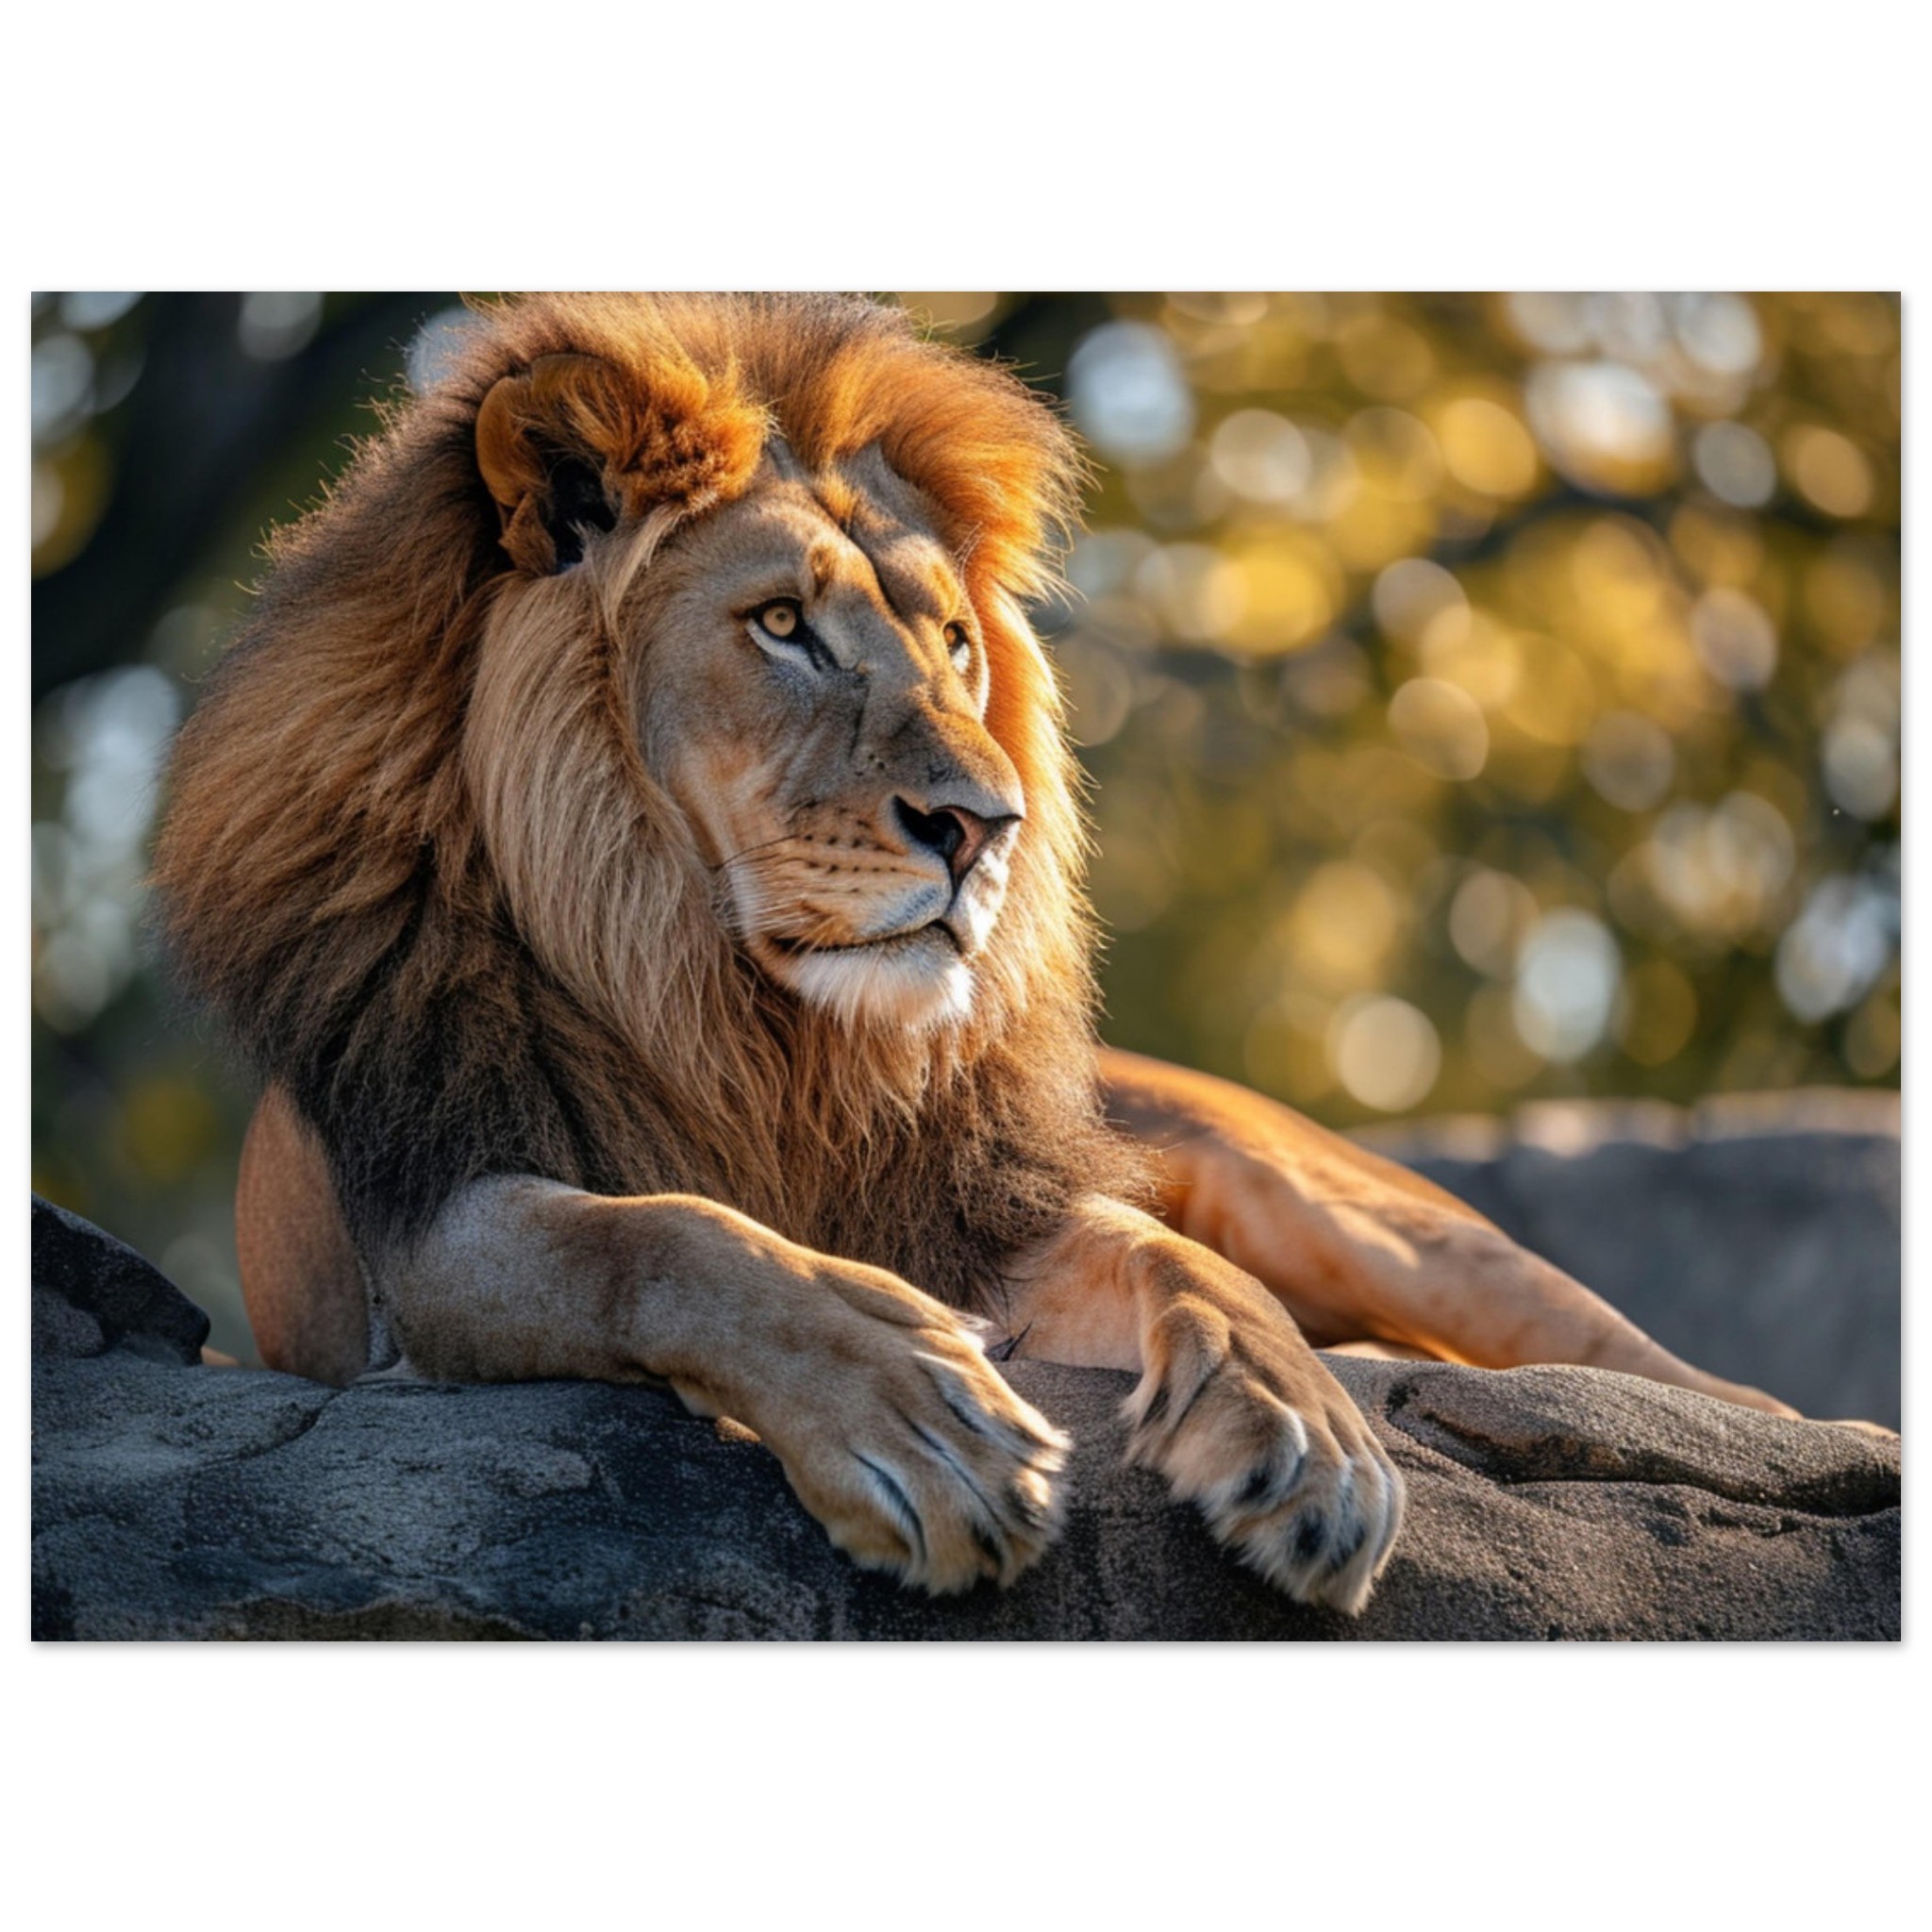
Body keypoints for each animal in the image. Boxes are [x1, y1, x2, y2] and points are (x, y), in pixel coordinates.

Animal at [155, 292, 1793, 1618]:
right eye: (781, 625)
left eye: (953, 644)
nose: (983, 825)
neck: (747, 1022)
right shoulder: (428, 1225)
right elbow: (673, 1239)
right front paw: (920, 1420)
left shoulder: (981, 1206)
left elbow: (1175, 1256)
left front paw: (1307, 1427)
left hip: (1375, 1222)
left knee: (1711, 1392)